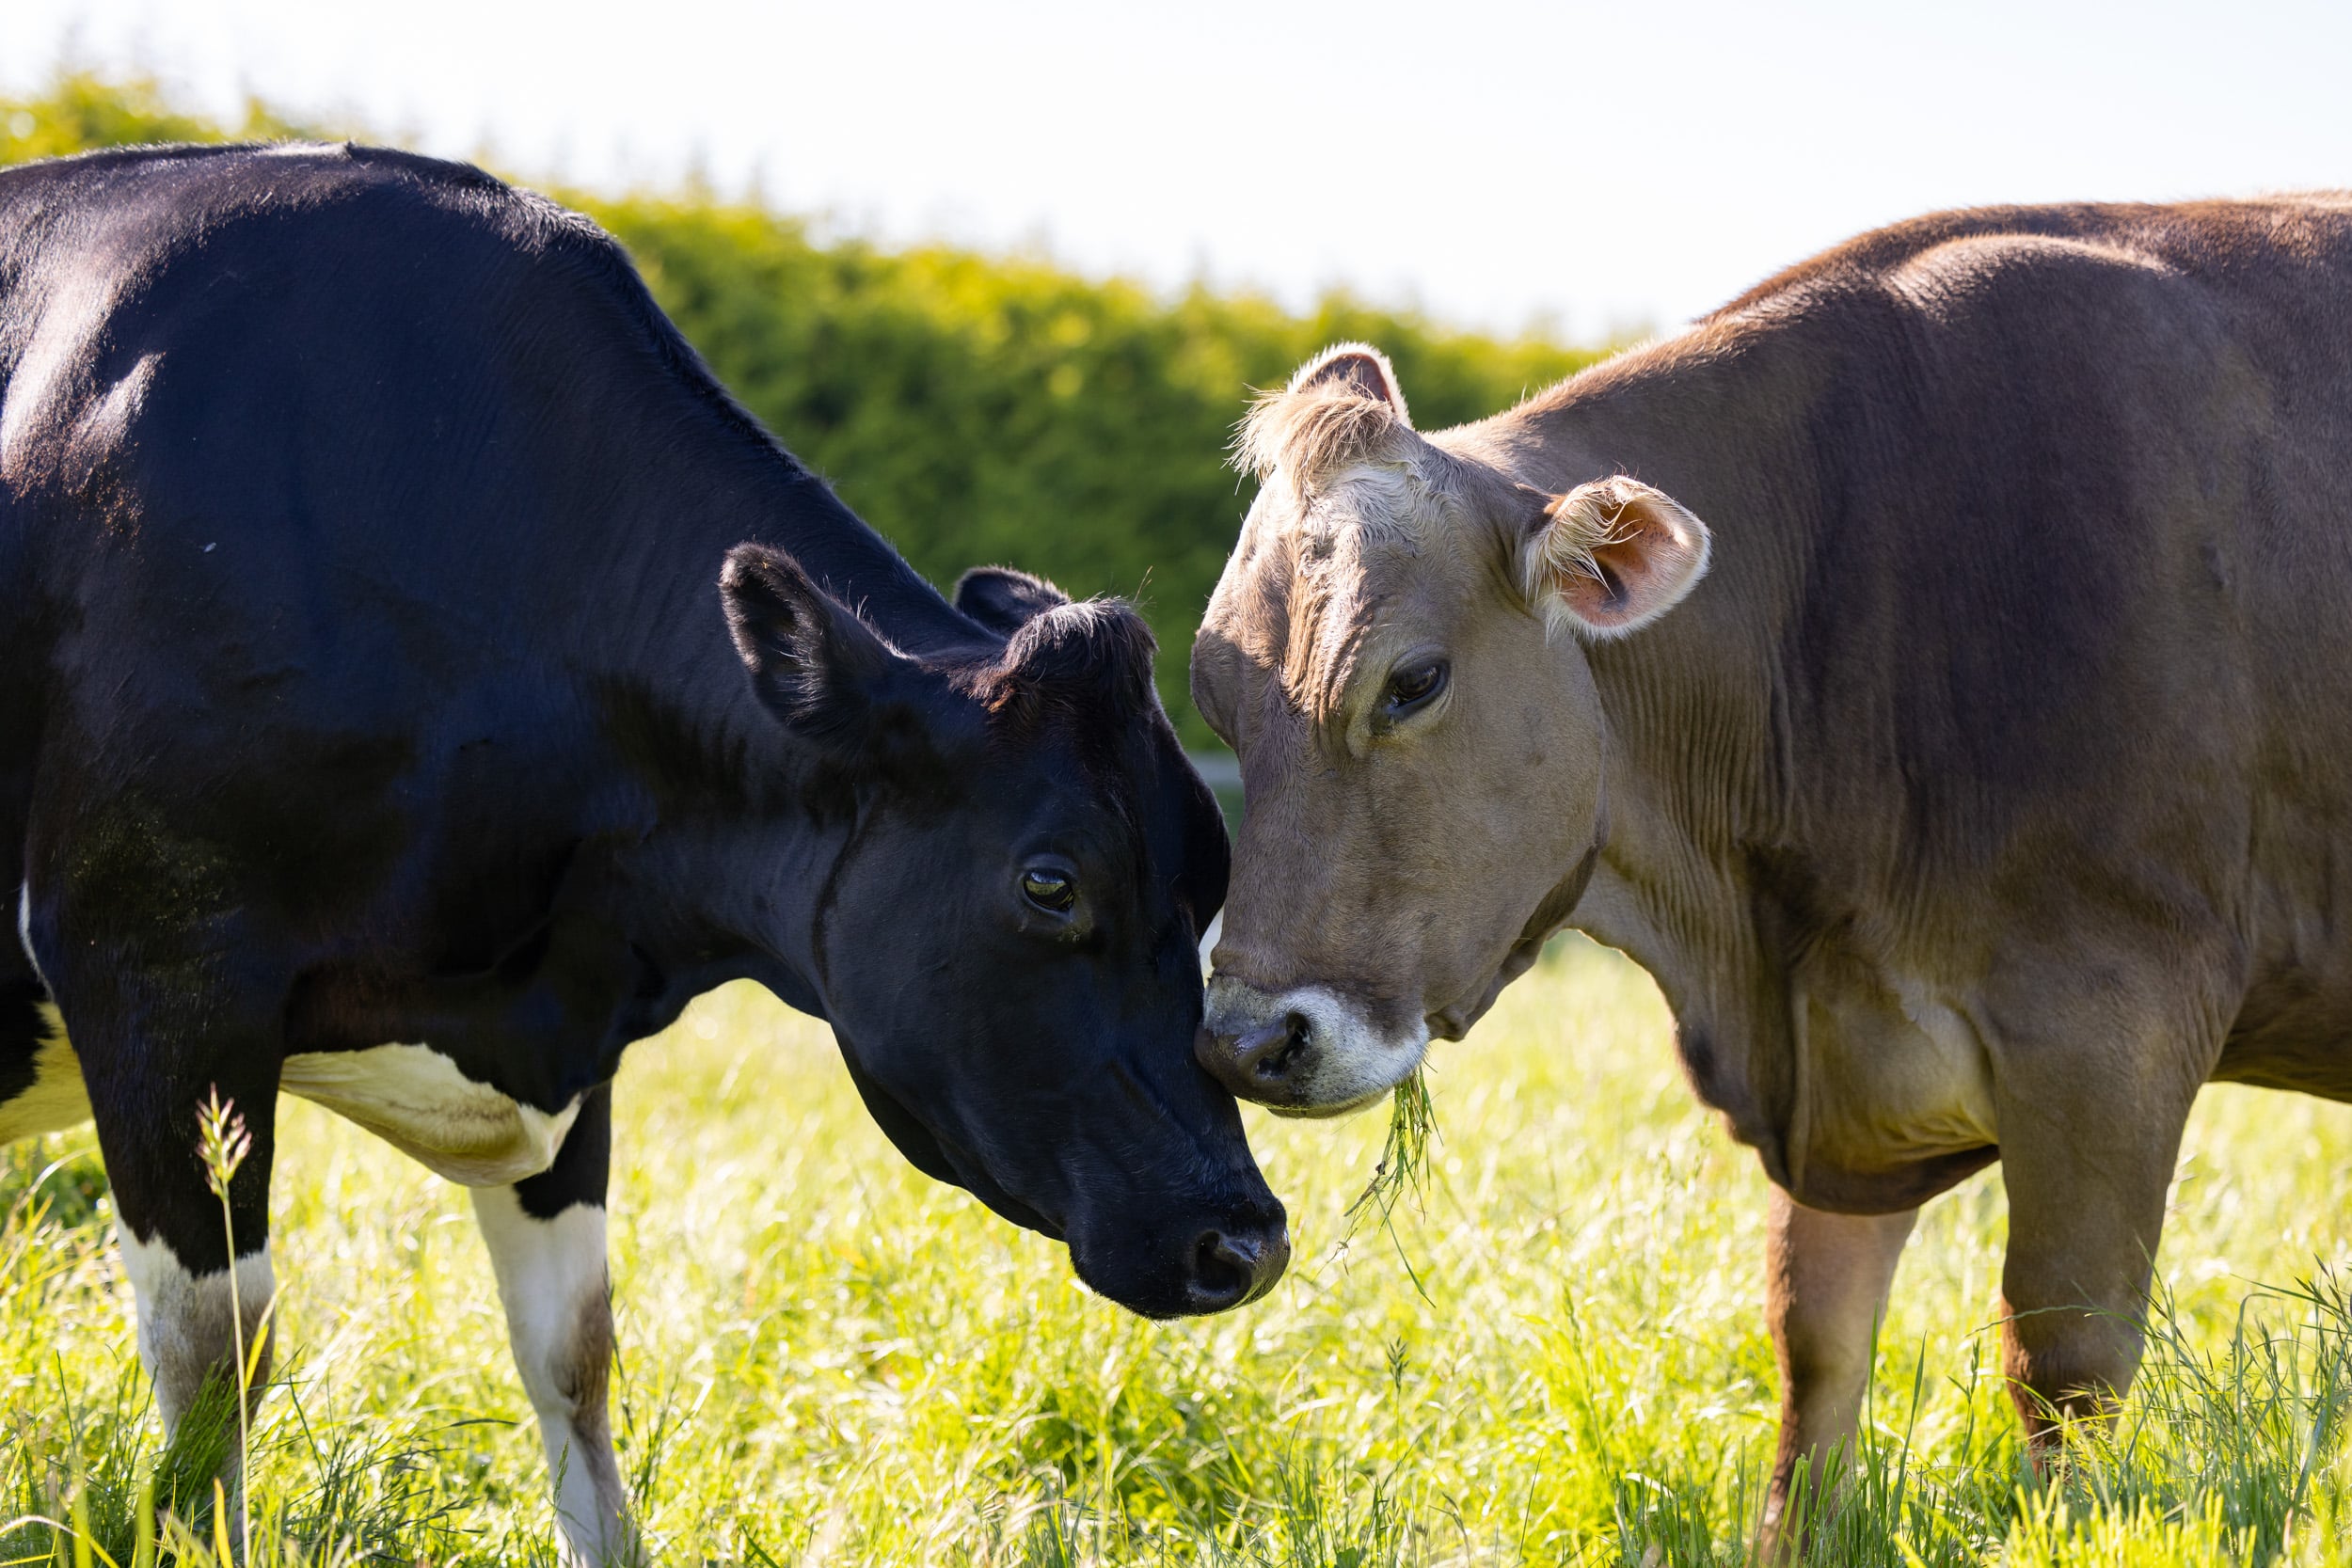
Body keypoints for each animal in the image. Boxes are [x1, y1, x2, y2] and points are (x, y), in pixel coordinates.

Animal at [0, 141, 1287, 1566]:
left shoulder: (571, 1035)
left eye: (1211, 882)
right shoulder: (156, 977)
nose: (1244, 1239)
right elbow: (216, 1363)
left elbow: (575, 1350)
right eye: (1051, 882)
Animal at [1187, 196, 2352, 1547]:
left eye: (1412, 680)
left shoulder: (2109, 1026)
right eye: (1213, 694)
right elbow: (1817, 1345)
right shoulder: (1847, 1062)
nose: (1248, 1041)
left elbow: (2065, 1363)